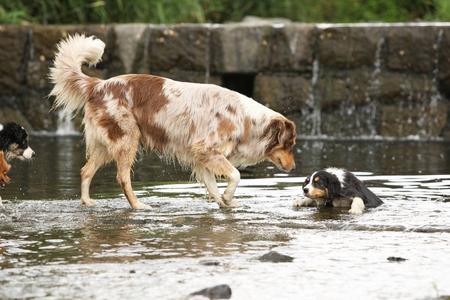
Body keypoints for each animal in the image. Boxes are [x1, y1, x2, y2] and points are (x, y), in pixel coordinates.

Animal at [49, 34, 298, 209]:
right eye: (289, 145)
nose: (294, 168)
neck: (245, 120)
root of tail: (98, 85)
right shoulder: (207, 149)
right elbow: (235, 175)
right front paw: (228, 197)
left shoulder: (202, 158)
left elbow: (212, 186)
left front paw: (225, 202)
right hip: (127, 139)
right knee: (122, 177)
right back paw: (138, 206)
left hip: (107, 144)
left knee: (85, 171)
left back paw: (87, 202)